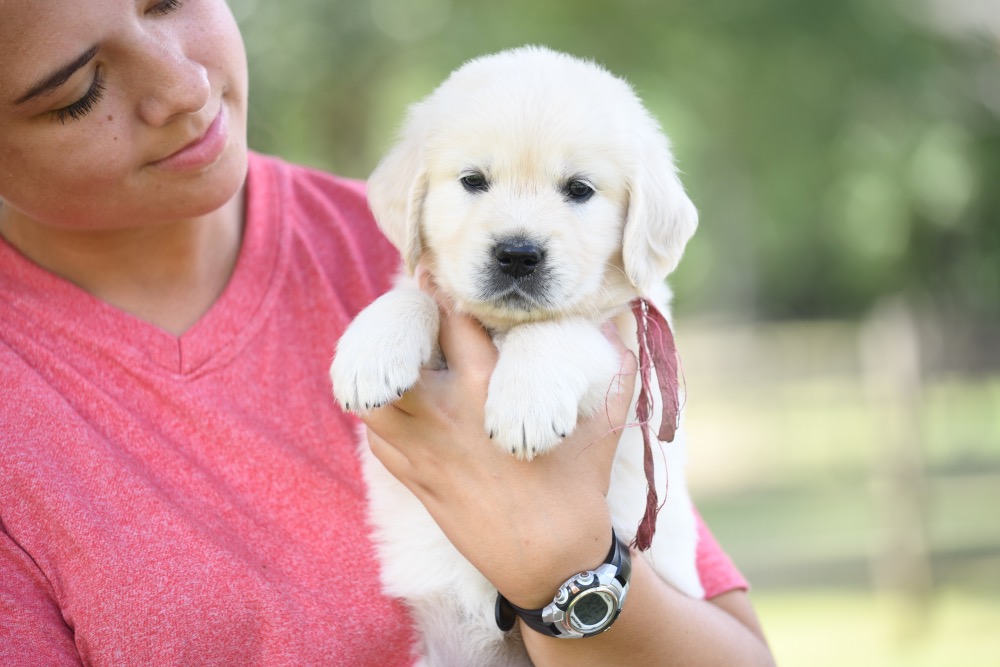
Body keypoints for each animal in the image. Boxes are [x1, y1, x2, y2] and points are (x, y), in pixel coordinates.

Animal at [332, 44, 700, 664]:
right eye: (473, 181)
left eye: (579, 189)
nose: (518, 255)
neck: (503, 327)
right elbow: (416, 294)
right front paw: (370, 351)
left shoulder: (621, 341)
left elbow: (558, 329)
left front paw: (524, 405)